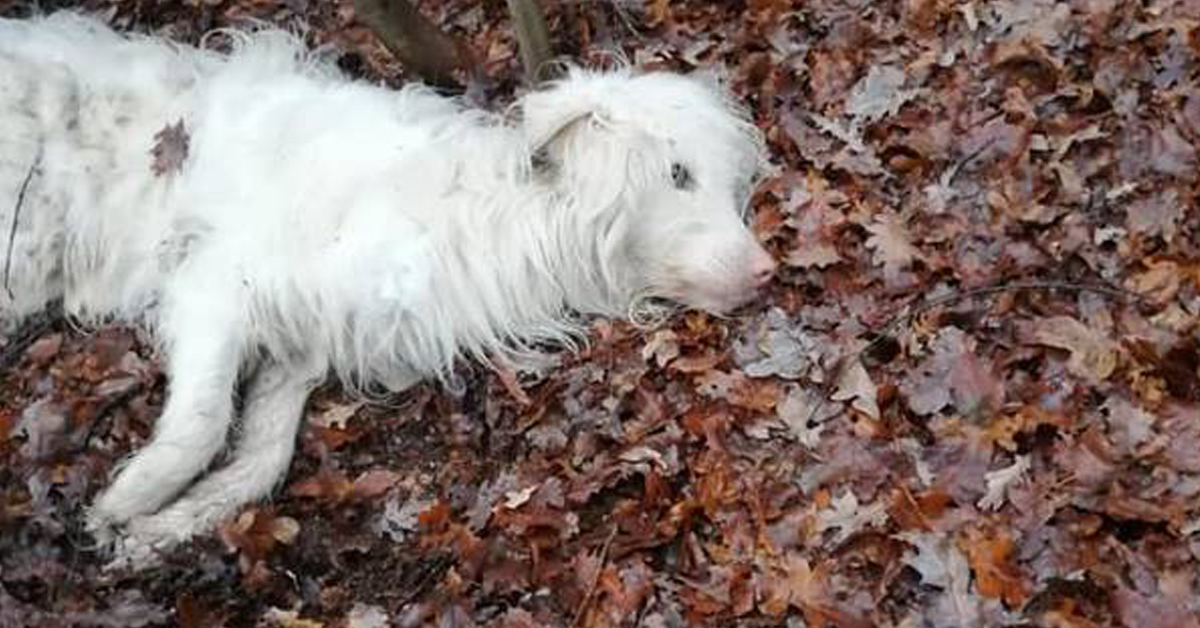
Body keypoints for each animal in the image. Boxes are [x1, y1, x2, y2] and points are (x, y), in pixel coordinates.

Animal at [0, 12, 777, 559]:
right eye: (678, 175)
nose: (767, 270)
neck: (475, 216)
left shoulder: (300, 348)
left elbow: (262, 456)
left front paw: (164, 528)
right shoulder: (218, 285)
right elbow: (201, 421)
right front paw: (132, 498)